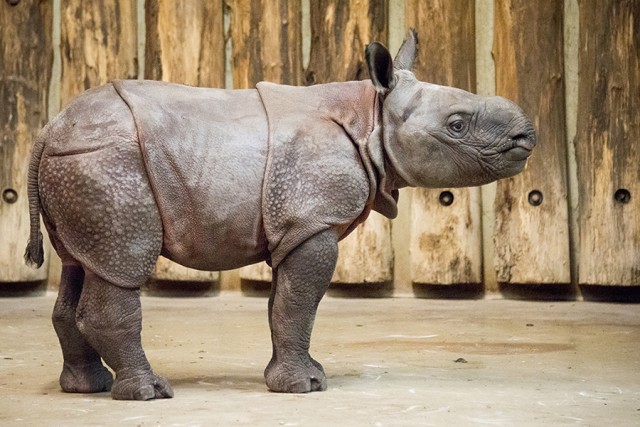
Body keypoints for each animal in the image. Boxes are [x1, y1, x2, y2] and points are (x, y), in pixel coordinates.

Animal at [24, 31, 535, 400]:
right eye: (457, 125)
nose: (527, 136)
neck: (372, 117)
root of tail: (48, 129)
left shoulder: (294, 226)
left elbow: (281, 304)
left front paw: (294, 377)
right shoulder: (313, 222)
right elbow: (299, 302)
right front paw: (306, 387)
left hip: (81, 166)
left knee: (80, 263)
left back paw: (87, 388)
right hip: (107, 165)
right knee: (121, 266)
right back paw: (149, 393)